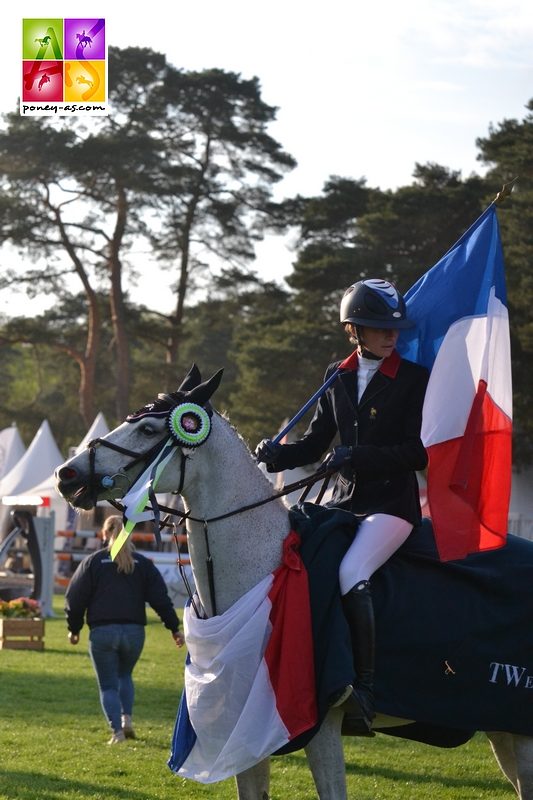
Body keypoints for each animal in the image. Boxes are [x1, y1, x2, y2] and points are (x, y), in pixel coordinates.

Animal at [56, 364, 532, 800]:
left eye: (150, 428)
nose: (67, 475)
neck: (263, 571)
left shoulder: (321, 727)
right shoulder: (243, 731)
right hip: (500, 728)